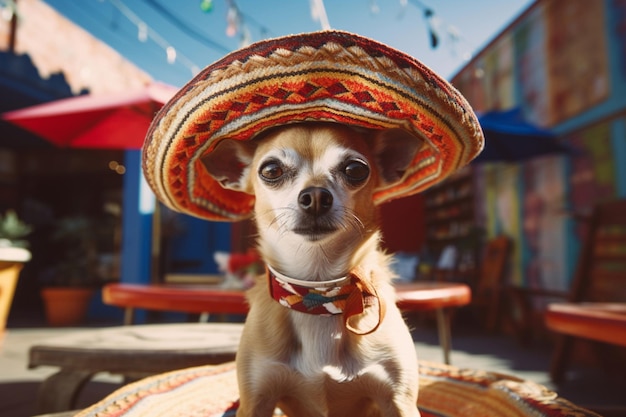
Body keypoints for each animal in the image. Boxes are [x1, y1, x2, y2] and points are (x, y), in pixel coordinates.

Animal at [205, 122, 420, 414]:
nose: (316, 195)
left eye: (356, 169)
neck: (317, 295)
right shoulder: (255, 402)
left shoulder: (398, 402)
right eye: (271, 170)